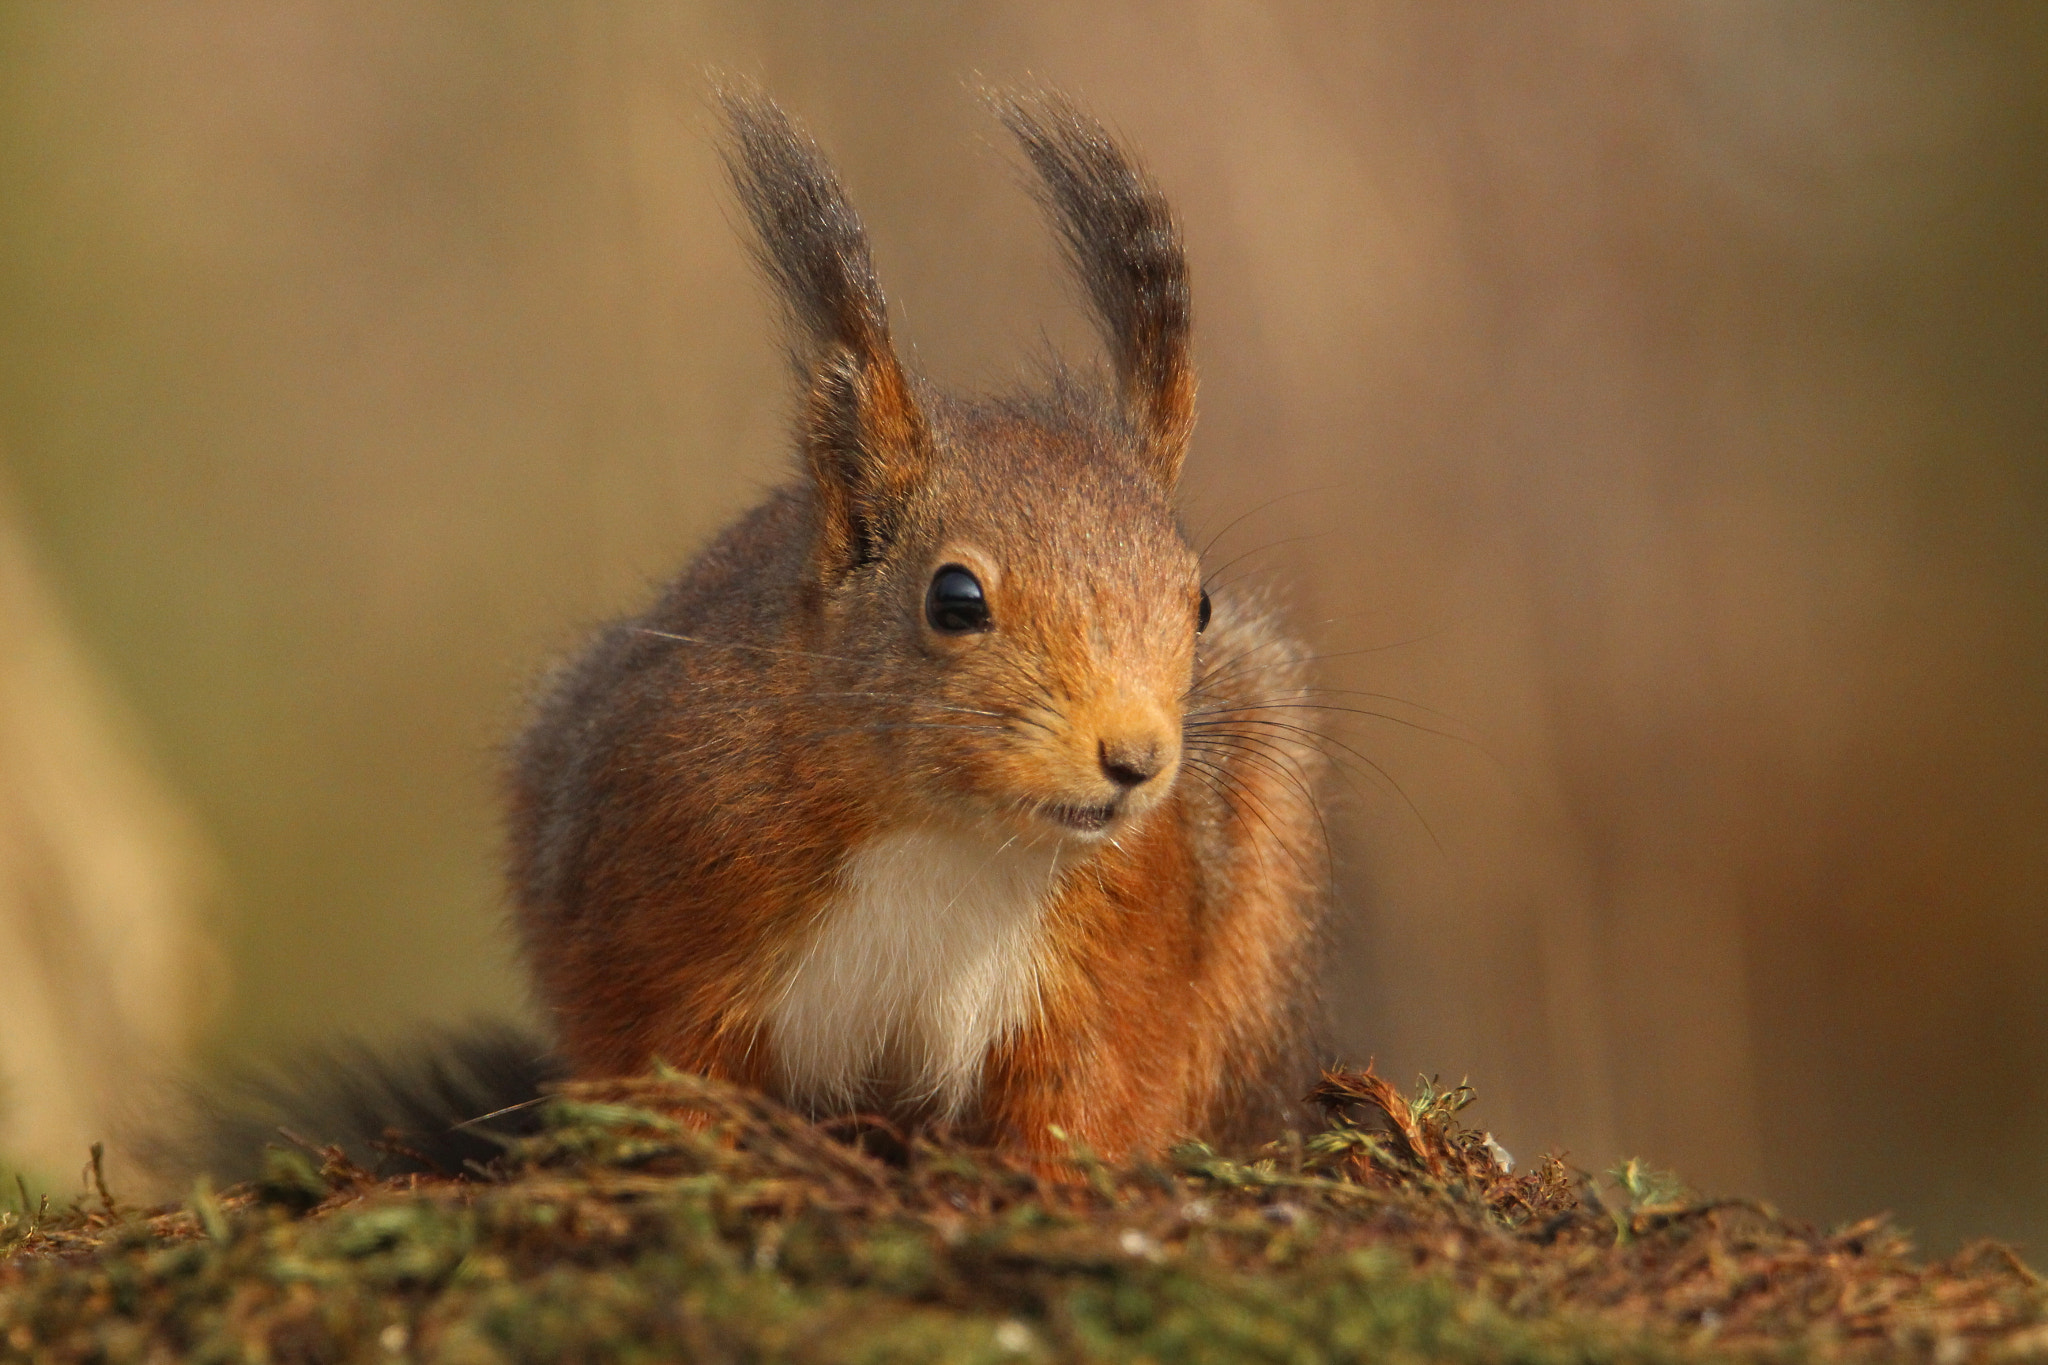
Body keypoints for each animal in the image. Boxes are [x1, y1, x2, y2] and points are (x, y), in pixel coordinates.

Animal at [176, 89, 1329, 1180]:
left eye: (1198, 603)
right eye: (955, 600)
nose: (1136, 761)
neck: (946, 828)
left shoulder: (1119, 958)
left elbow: (1090, 1088)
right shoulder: (660, 914)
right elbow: (665, 1066)